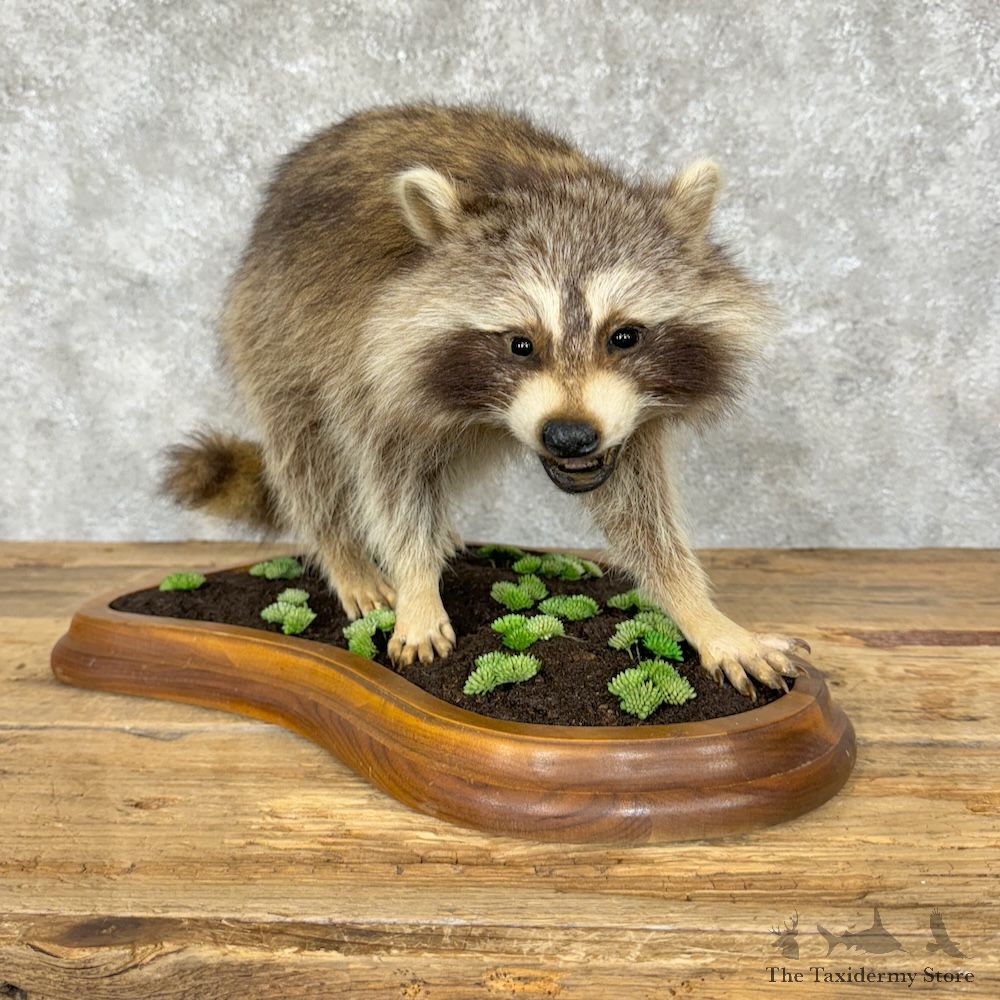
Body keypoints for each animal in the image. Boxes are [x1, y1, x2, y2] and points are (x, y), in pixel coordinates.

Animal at [163, 103, 810, 697]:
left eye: (624, 336)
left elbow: (639, 509)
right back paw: (344, 550)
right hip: (273, 328)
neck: (550, 186)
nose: (569, 435)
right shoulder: (371, 362)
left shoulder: (626, 418)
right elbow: (389, 476)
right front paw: (416, 583)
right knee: (308, 451)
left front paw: (701, 611)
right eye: (519, 344)